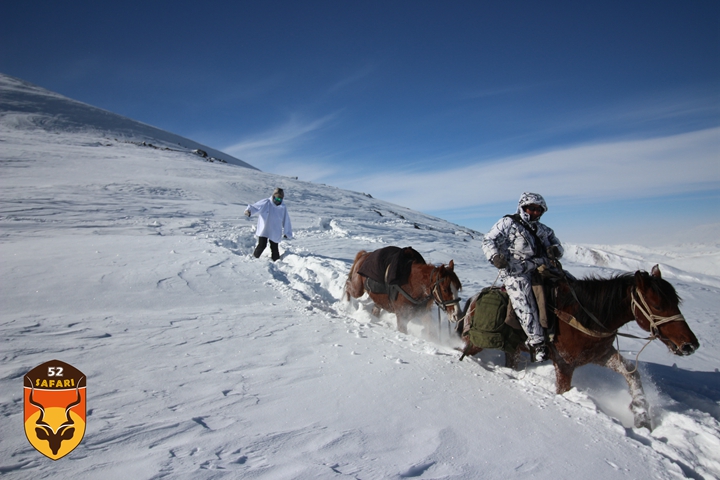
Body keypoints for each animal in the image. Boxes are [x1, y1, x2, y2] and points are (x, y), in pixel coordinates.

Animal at [458, 264, 700, 430]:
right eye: (658, 305)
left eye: (676, 302)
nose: (690, 345)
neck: (586, 316)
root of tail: (474, 299)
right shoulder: (565, 364)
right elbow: (563, 390)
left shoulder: (602, 355)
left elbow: (632, 373)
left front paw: (642, 417)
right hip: (477, 344)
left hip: (513, 349)